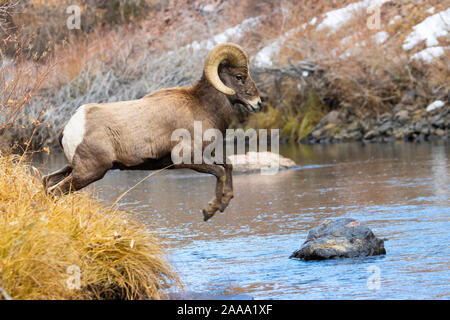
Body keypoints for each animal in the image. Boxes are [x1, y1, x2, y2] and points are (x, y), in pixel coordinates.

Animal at [41, 42, 262, 222]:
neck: (202, 107)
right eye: (239, 77)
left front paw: (224, 203)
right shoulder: (186, 159)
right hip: (90, 172)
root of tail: (70, 128)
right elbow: (220, 172)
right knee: (54, 191)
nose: (258, 103)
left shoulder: (209, 154)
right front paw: (209, 211)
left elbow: (228, 165)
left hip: (75, 168)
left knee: (46, 181)